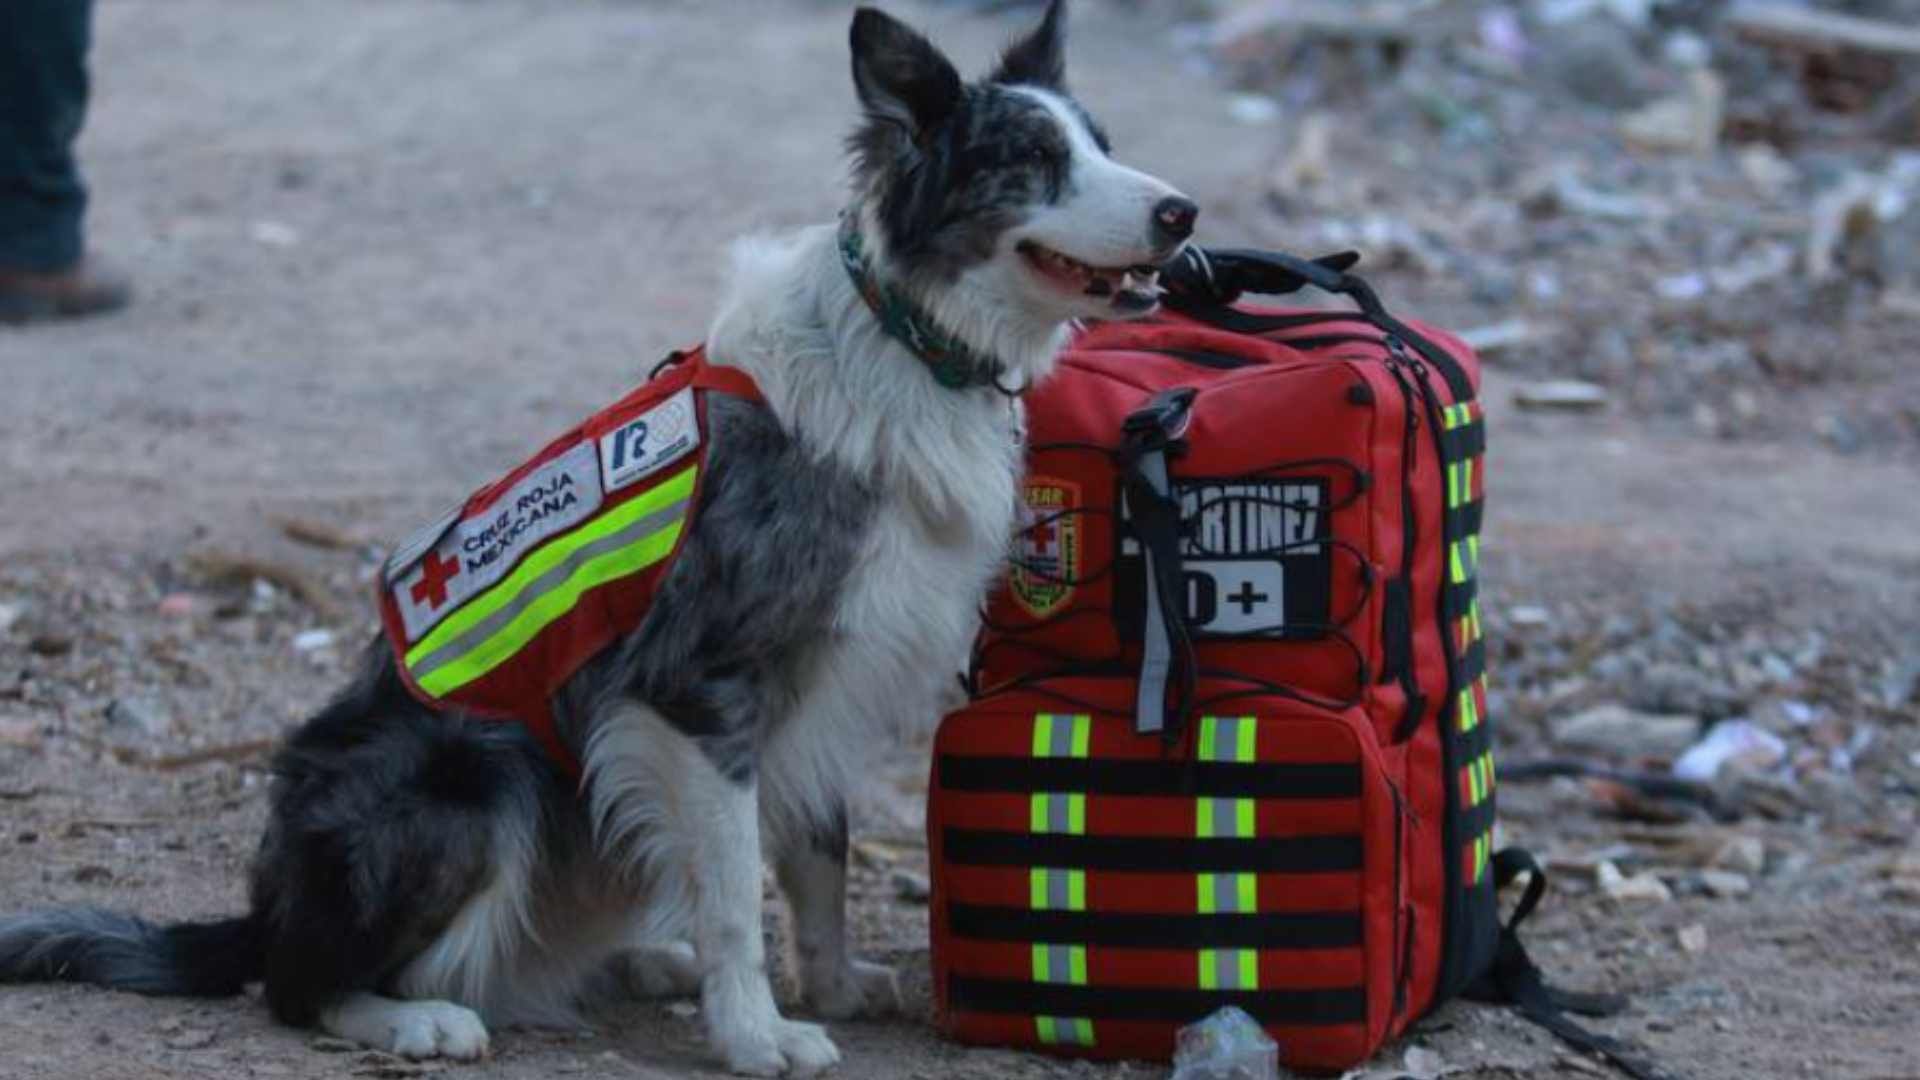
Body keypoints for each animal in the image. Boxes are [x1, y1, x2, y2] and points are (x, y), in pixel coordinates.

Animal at [0, 4, 1190, 1068]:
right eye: (1033, 161)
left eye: (1101, 144)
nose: (1183, 213)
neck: (912, 338)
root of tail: (267, 904)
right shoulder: (701, 682)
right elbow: (735, 888)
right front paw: (757, 1034)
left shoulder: (823, 678)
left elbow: (818, 855)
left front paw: (835, 986)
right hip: (472, 776)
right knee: (299, 985)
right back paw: (412, 1018)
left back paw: (639, 962)